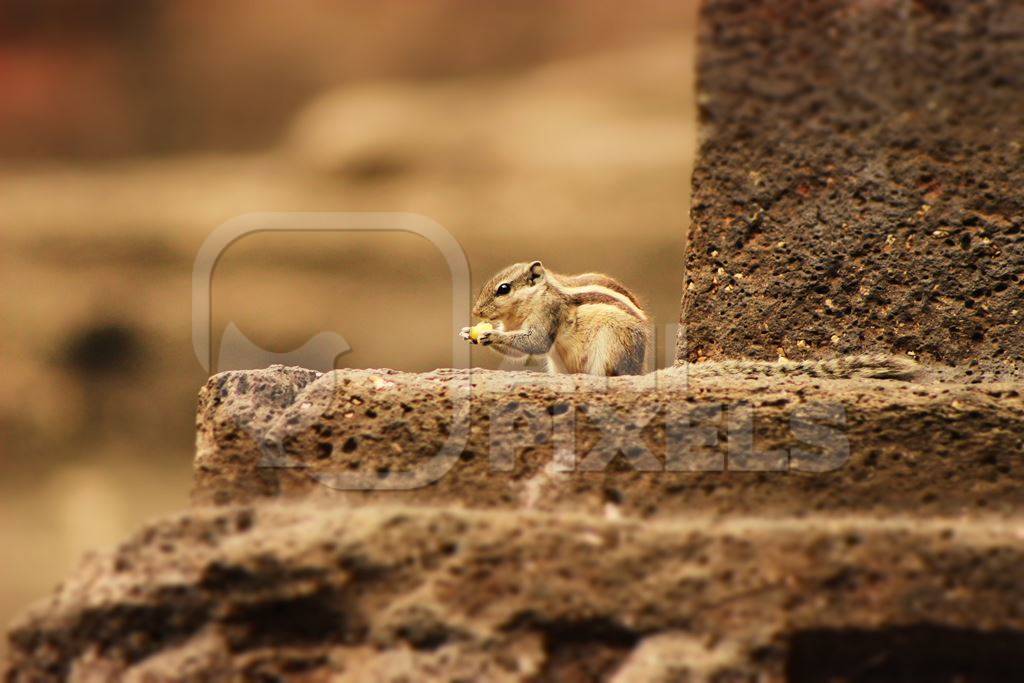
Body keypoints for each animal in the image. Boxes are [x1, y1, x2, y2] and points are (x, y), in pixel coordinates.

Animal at [462, 262, 921, 382]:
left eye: (503, 289)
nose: (476, 313)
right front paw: (472, 333)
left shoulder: (547, 317)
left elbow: (534, 342)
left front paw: (484, 337)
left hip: (611, 347)